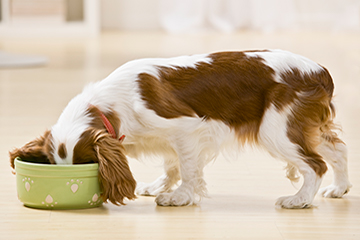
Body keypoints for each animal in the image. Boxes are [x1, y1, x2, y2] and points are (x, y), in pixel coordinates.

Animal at [9, 50, 352, 208]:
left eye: (87, 165)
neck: (110, 105)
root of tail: (320, 71)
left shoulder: (185, 129)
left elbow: (187, 168)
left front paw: (179, 197)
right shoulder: (170, 140)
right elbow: (172, 164)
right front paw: (161, 185)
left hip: (276, 130)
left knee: (315, 164)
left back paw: (299, 200)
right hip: (304, 127)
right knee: (337, 150)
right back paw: (339, 188)